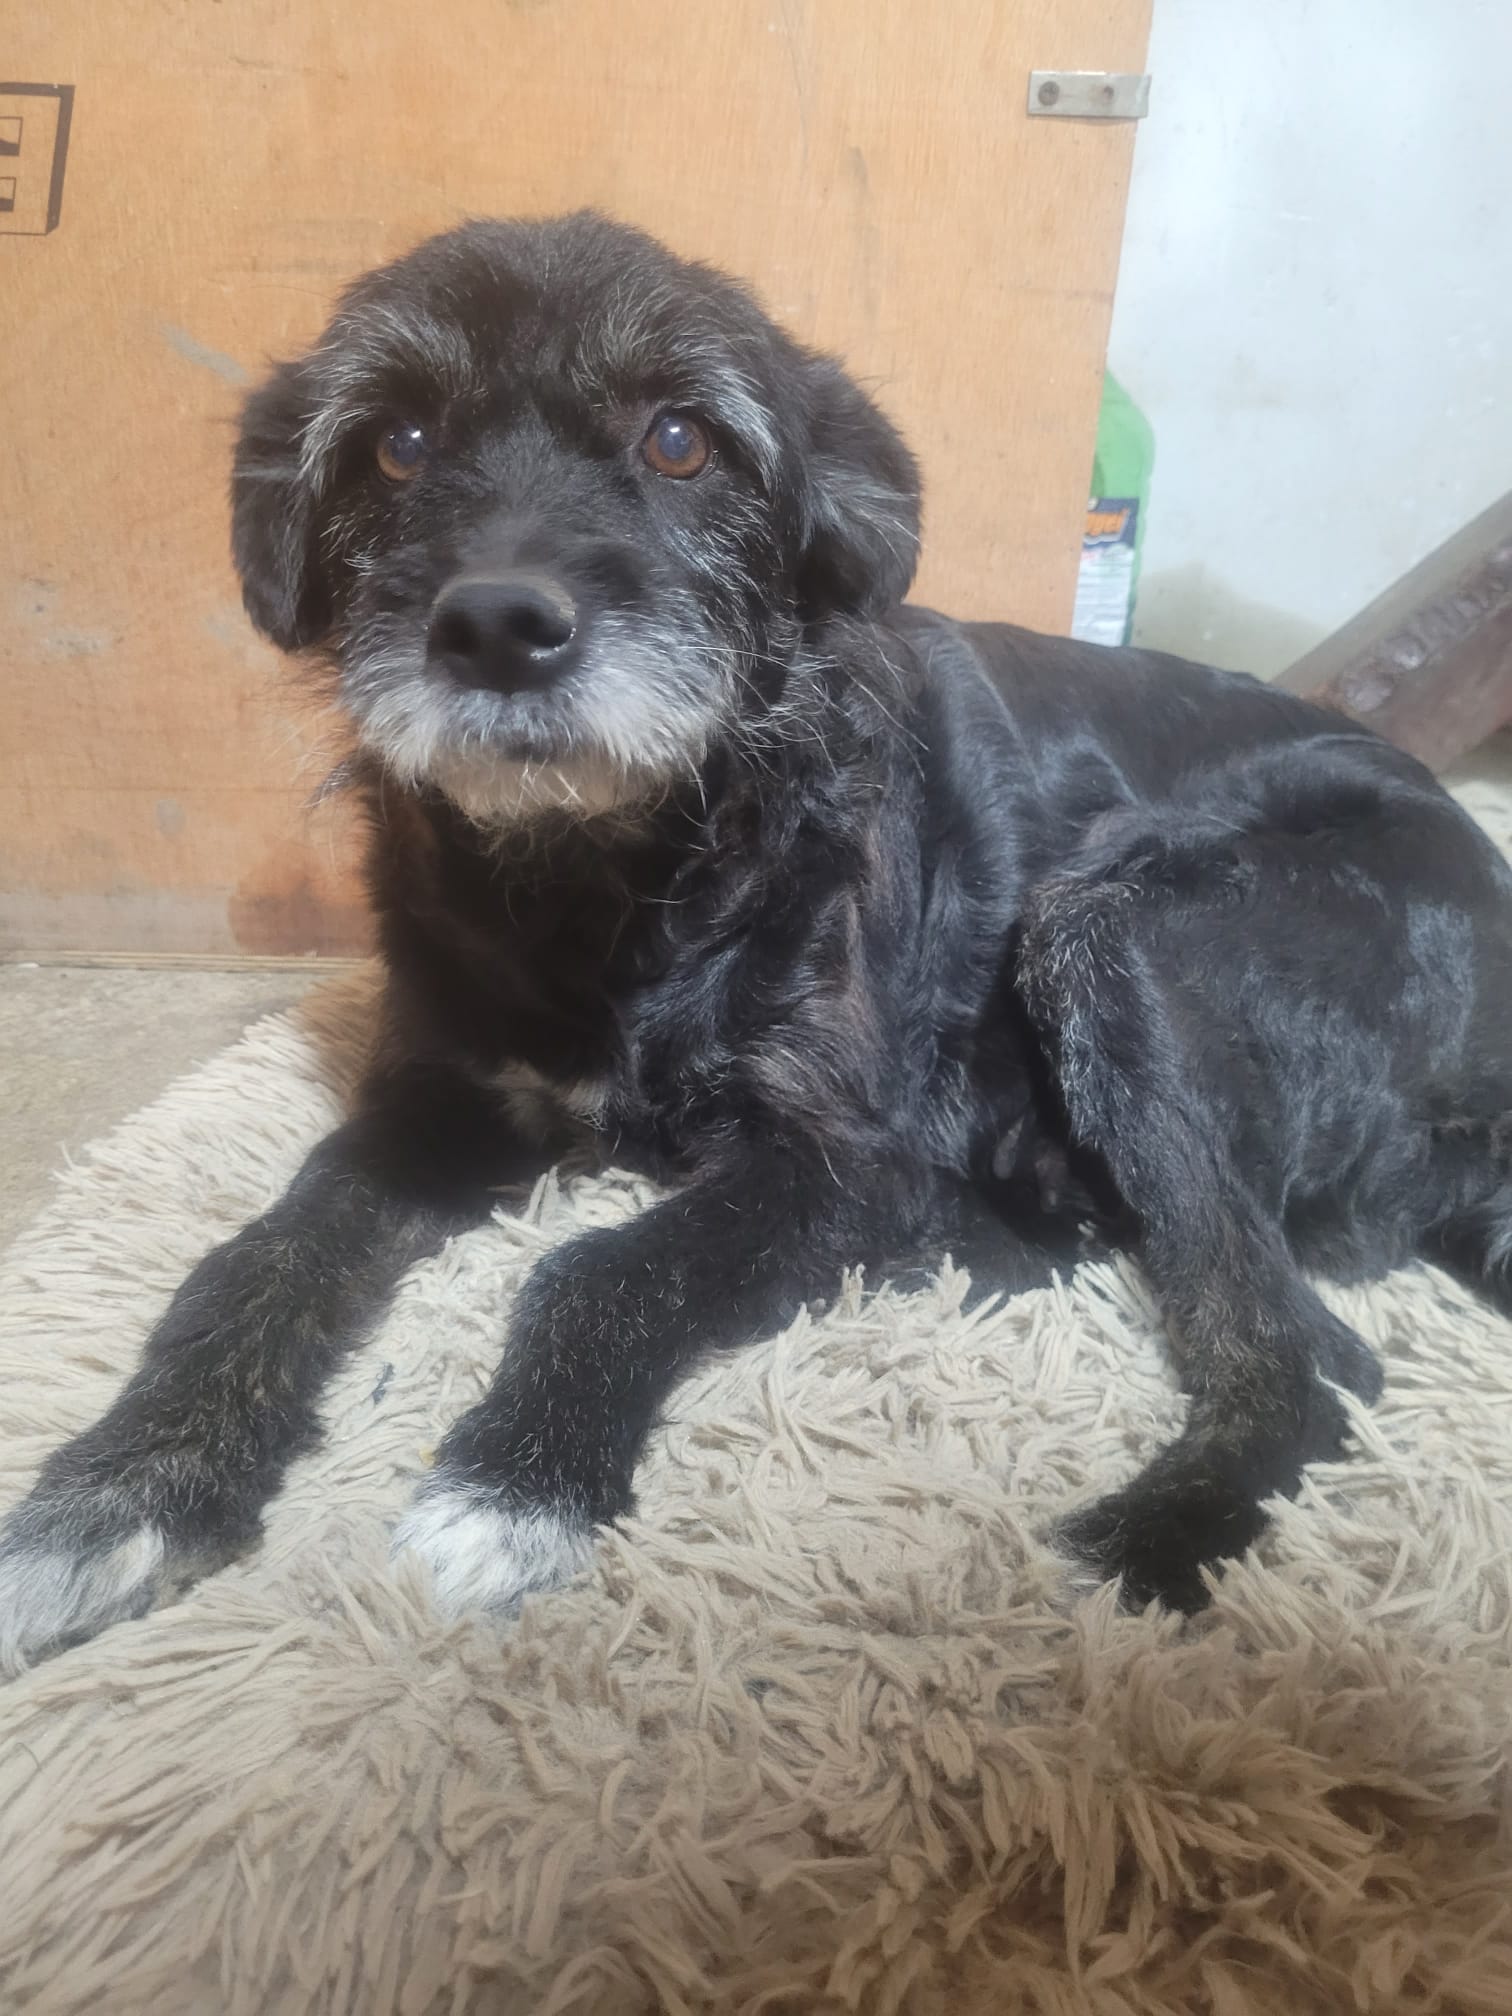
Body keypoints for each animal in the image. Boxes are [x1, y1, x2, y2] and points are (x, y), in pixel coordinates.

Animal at [3, 211, 1511, 1674]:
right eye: (395, 443)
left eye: (682, 440)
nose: (497, 626)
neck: (608, 875)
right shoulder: (443, 1106)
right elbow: (260, 1255)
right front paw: (118, 1489)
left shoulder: (844, 1155)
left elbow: (605, 1267)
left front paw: (513, 1482)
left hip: (1108, 934)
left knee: (1314, 1362)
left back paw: (1134, 1549)